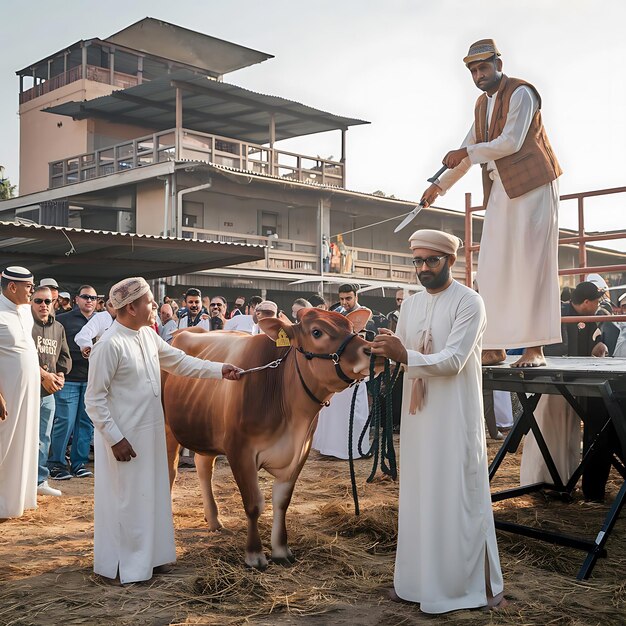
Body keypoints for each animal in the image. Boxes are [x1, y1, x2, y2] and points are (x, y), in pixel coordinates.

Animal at [162, 308, 376, 564]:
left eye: (353, 330)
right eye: (317, 332)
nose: (371, 351)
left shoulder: (300, 452)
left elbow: (282, 502)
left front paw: (281, 550)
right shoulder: (240, 450)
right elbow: (254, 503)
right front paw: (254, 555)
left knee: (204, 466)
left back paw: (214, 520)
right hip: (167, 427)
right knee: (171, 470)